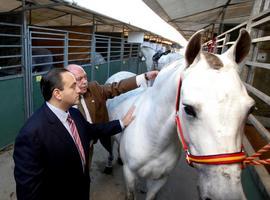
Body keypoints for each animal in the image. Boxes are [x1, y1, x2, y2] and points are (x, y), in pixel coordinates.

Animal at [106, 29, 253, 200]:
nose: (226, 194)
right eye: (188, 109)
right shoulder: (129, 175)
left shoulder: (159, 180)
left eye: (250, 109)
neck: (154, 140)